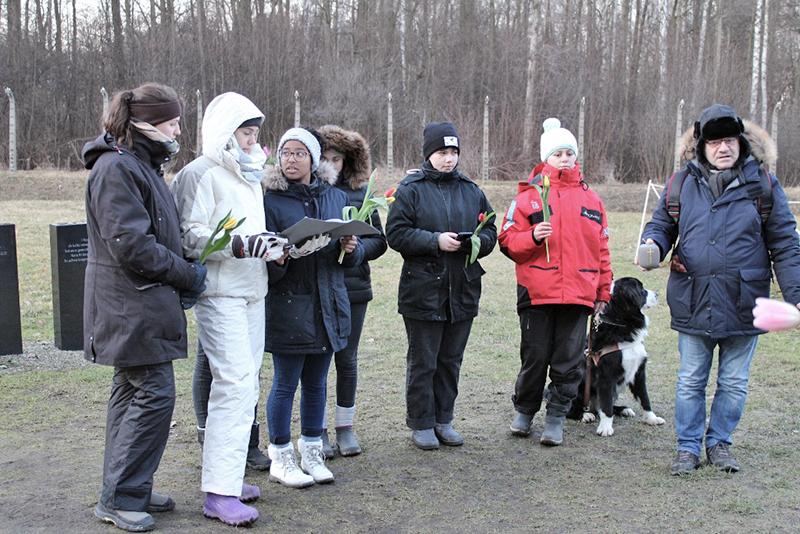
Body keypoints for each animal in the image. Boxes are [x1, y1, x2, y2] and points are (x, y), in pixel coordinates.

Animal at [564, 278, 664, 438]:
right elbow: (606, 404)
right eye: (641, 290)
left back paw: (623, 409)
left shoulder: (639, 372)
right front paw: (605, 427)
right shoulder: (606, 375)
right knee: (571, 408)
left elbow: (645, 398)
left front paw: (651, 418)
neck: (622, 323)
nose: (657, 294)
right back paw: (585, 415)